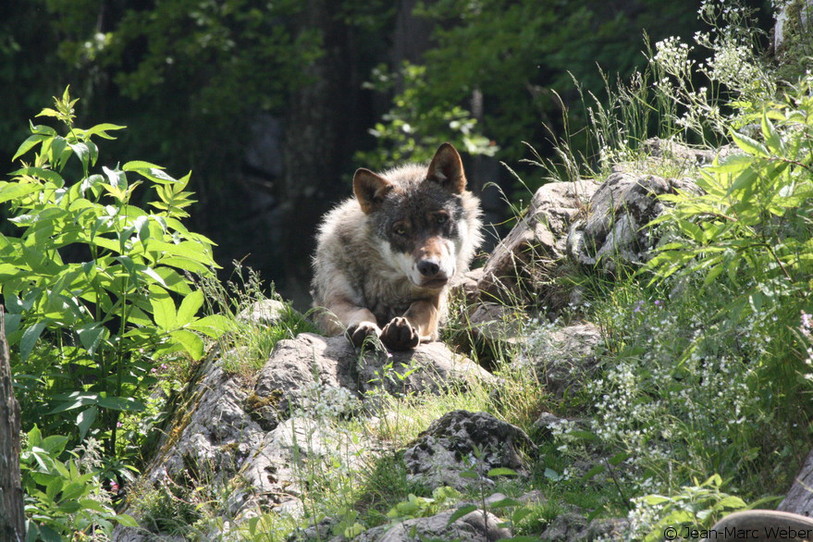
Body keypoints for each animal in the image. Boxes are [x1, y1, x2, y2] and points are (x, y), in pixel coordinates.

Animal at [311, 143, 483, 350]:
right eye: (400, 230)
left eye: (441, 219)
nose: (429, 267)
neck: (388, 288)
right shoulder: (335, 303)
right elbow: (361, 312)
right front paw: (364, 326)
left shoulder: (432, 300)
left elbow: (419, 309)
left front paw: (404, 327)